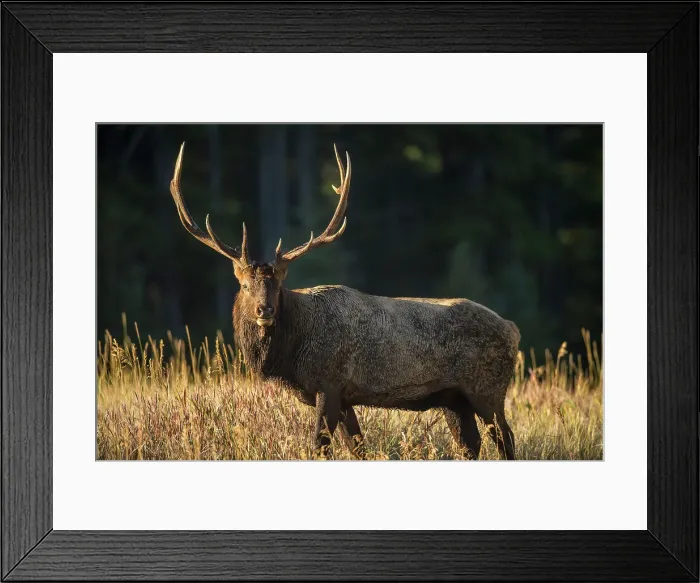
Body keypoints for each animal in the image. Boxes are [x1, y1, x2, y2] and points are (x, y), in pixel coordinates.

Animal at [169, 142, 520, 460]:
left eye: (279, 283)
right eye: (243, 284)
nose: (264, 309)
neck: (291, 354)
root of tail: (513, 329)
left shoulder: (330, 384)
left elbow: (319, 449)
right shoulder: (344, 397)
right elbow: (358, 449)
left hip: (488, 389)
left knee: (506, 440)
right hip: (454, 400)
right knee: (471, 445)